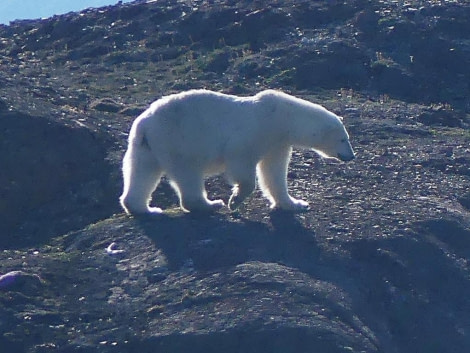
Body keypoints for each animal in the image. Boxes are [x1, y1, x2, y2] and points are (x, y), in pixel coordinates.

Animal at [119, 89, 354, 213]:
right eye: (344, 139)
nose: (351, 156)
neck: (282, 118)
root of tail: (144, 125)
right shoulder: (253, 133)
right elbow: (242, 165)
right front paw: (235, 200)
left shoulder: (277, 143)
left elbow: (274, 173)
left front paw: (295, 204)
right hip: (176, 139)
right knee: (187, 173)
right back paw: (210, 204)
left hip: (145, 147)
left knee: (142, 172)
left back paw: (145, 208)